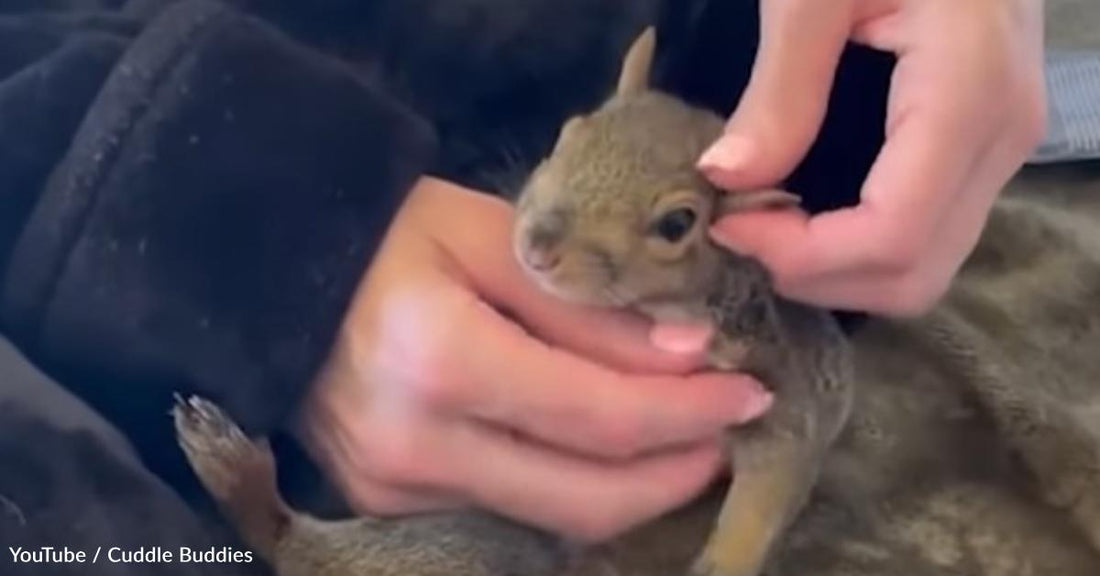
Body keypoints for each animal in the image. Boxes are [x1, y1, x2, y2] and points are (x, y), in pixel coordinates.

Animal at [511, 27, 855, 576]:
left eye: (676, 224)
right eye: (568, 135)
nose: (537, 248)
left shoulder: (780, 396)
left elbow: (764, 494)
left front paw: (726, 561)